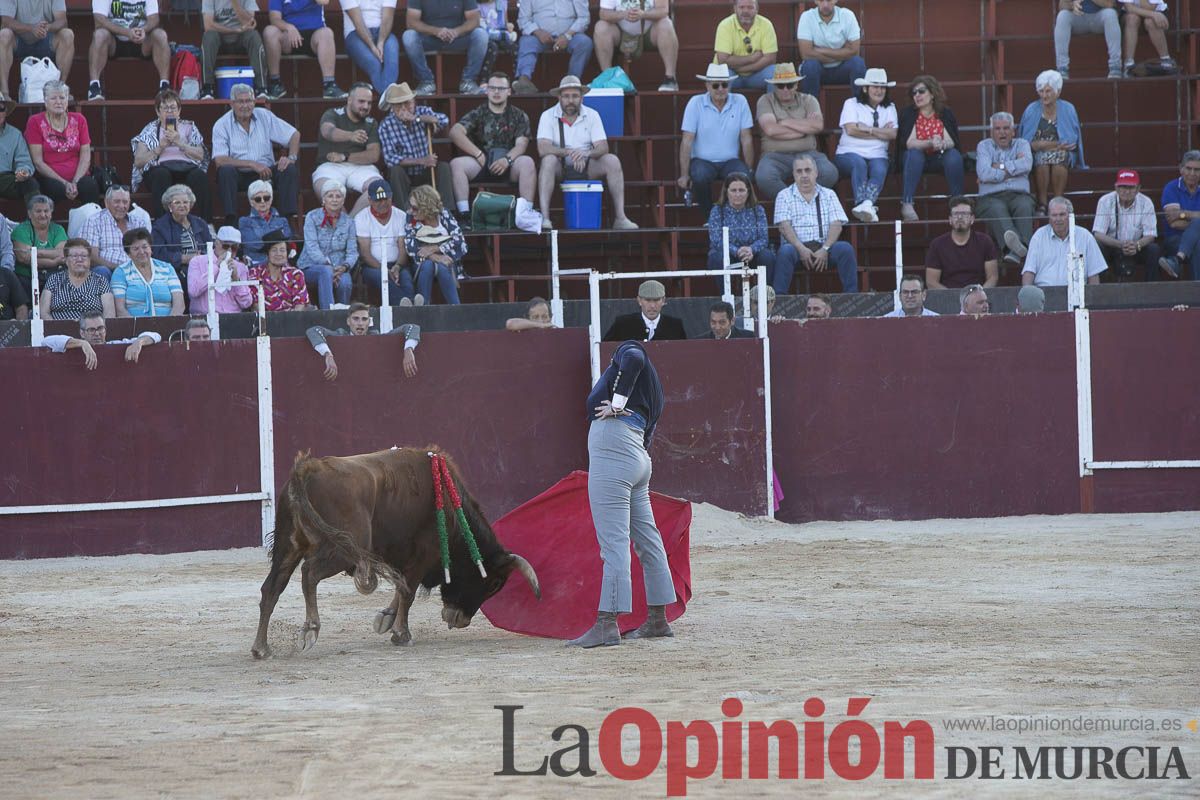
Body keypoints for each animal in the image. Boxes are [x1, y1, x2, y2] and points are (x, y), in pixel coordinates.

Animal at [250, 448, 542, 662]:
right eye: (493, 584)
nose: (461, 620)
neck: (451, 509)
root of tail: (306, 469)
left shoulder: (405, 559)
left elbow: (402, 588)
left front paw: (387, 618)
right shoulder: (425, 553)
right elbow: (408, 592)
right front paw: (402, 634)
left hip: (288, 548)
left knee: (271, 588)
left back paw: (261, 648)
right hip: (341, 550)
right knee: (309, 574)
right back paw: (310, 629)